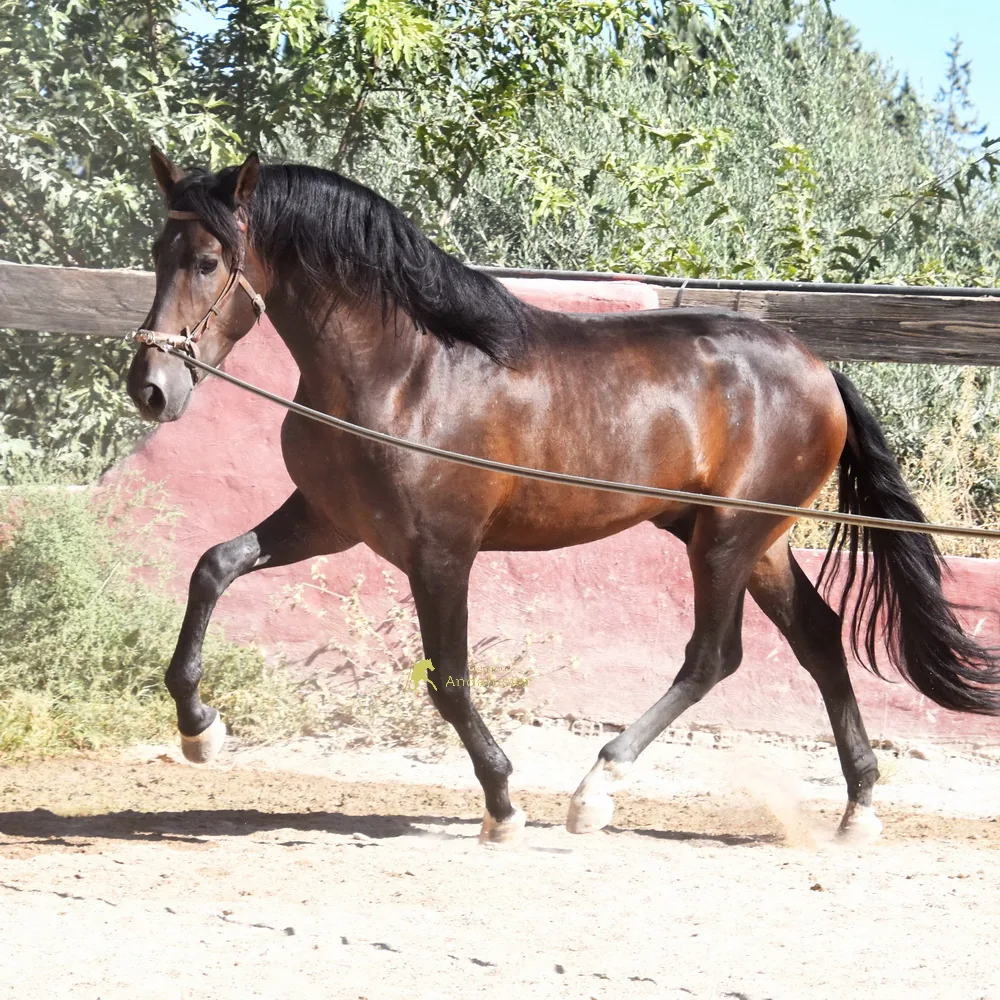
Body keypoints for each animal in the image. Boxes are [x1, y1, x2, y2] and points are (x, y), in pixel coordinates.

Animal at [127, 147, 1000, 846]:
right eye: (158, 250)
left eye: (207, 262)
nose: (151, 387)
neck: (405, 372)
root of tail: (820, 370)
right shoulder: (327, 521)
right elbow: (214, 565)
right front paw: (201, 730)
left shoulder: (441, 552)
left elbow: (448, 681)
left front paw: (503, 805)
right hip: (757, 542)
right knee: (818, 638)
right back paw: (858, 810)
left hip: (726, 539)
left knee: (715, 656)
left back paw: (595, 791)